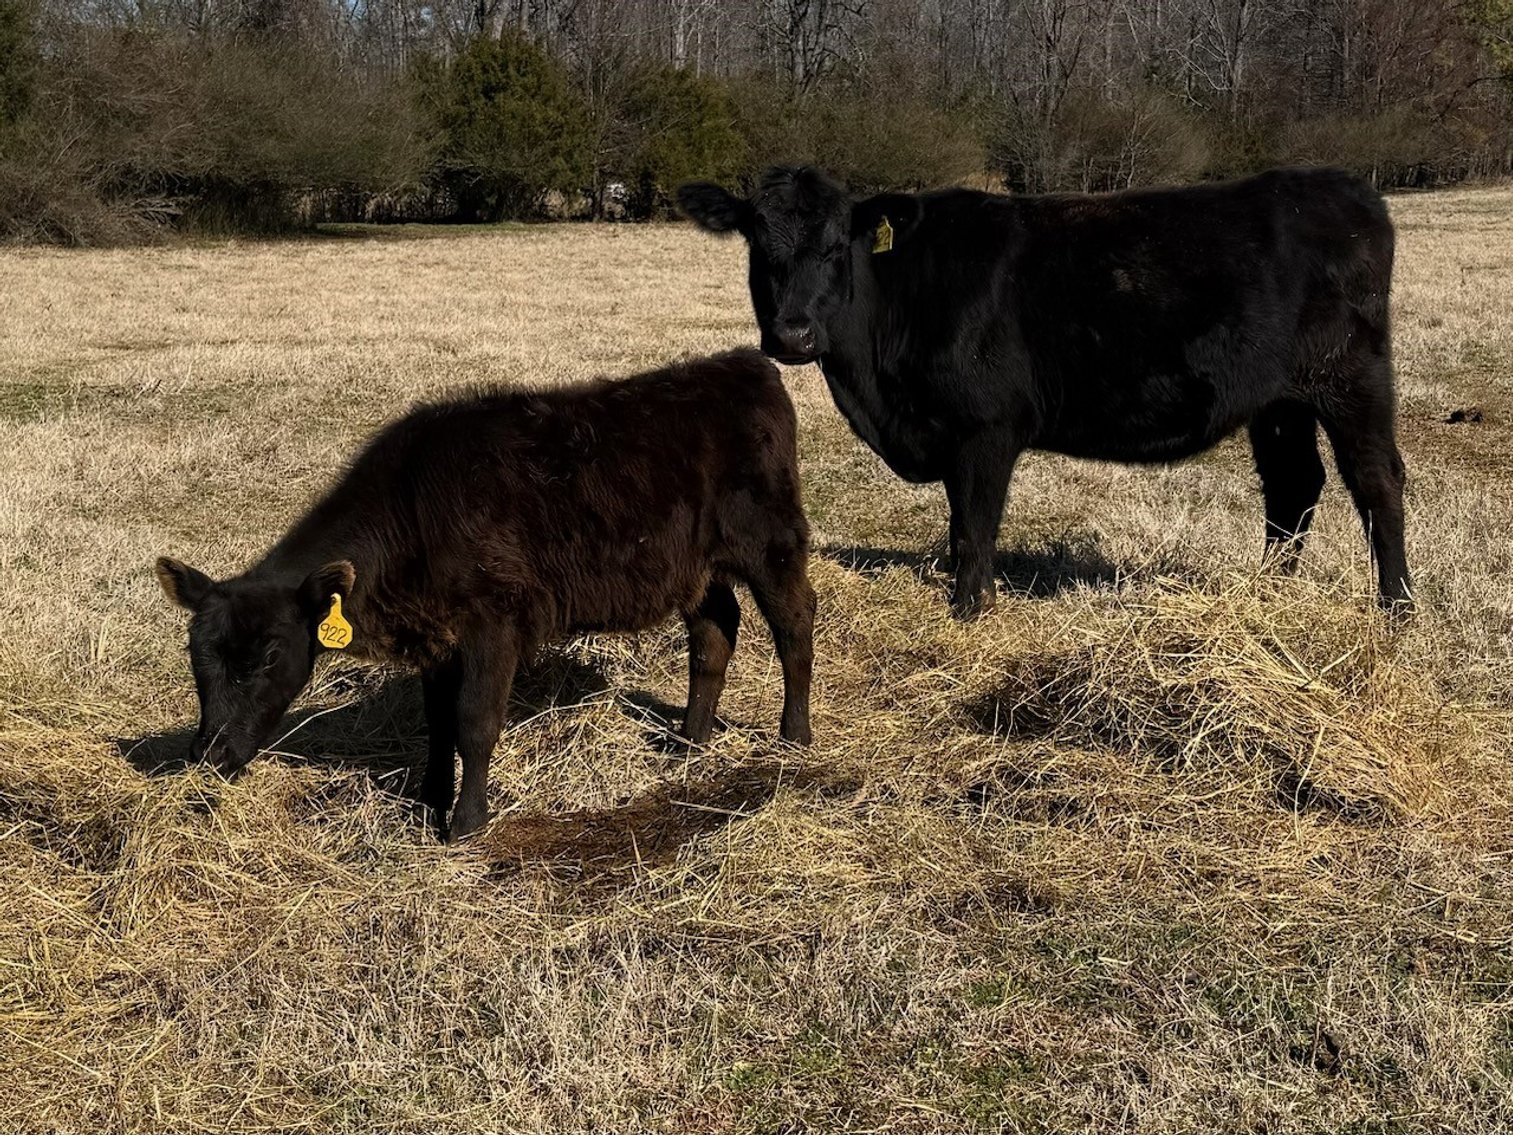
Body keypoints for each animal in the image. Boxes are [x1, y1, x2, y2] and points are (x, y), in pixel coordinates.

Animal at [155, 349, 815, 843]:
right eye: (195, 656)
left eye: (268, 656)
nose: (208, 756)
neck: (415, 511)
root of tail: (742, 363)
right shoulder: (437, 637)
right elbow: (438, 721)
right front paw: (428, 801)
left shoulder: (494, 622)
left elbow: (474, 721)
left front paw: (466, 824)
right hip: (694, 566)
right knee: (714, 630)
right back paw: (689, 741)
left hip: (771, 540)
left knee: (794, 620)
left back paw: (794, 736)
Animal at [678, 167, 1411, 617]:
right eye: (755, 243)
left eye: (837, 246)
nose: (792, 333)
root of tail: (1345, 188)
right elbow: (959, 524)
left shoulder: (985, 428)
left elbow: (973, 526)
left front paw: (969, 610)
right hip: (1278, 401)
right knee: (1293, 483)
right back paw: (1267, 592)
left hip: (1351, 377)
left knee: (1375, 480)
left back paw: (1396, 607)